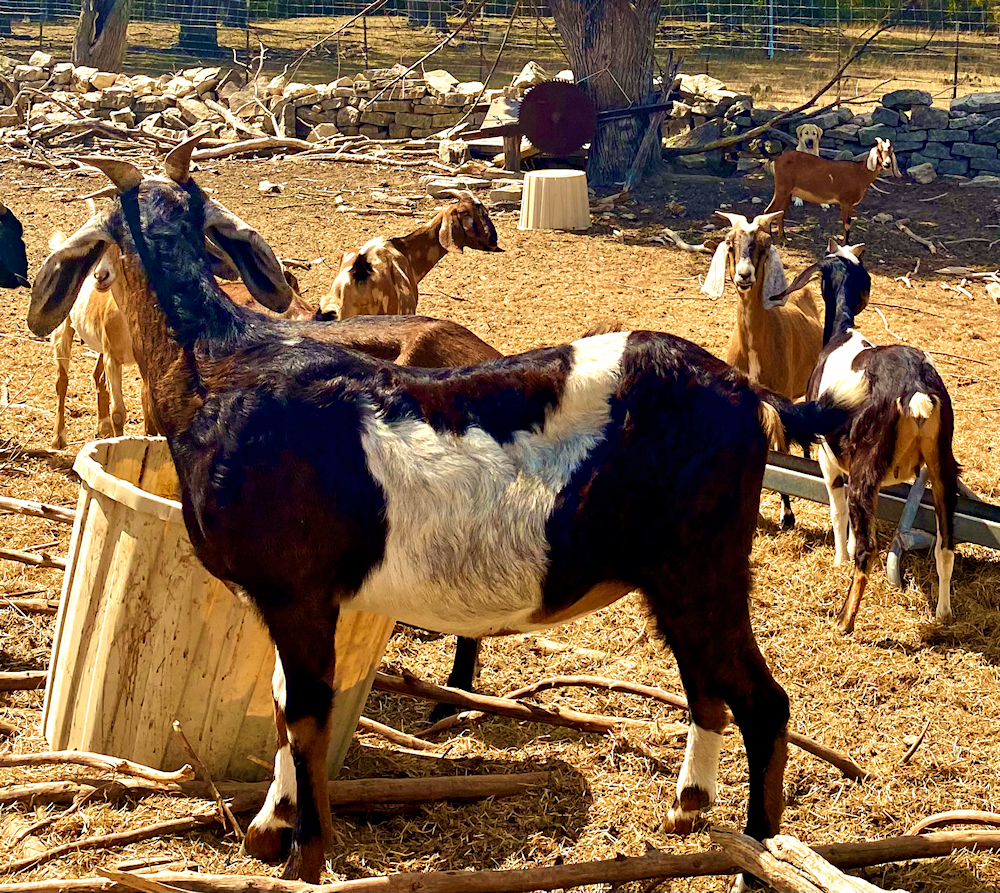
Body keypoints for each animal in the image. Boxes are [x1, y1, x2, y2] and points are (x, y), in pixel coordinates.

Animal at [796, 244, 960, 632]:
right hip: (941, 466)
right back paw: (943, 613)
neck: (842, 335)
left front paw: (838, 560)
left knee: (866, 548)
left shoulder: (829, 460)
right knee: (946, 544)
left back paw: (844, 621)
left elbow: (838, 513)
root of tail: (915, 389)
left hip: (864, 472)